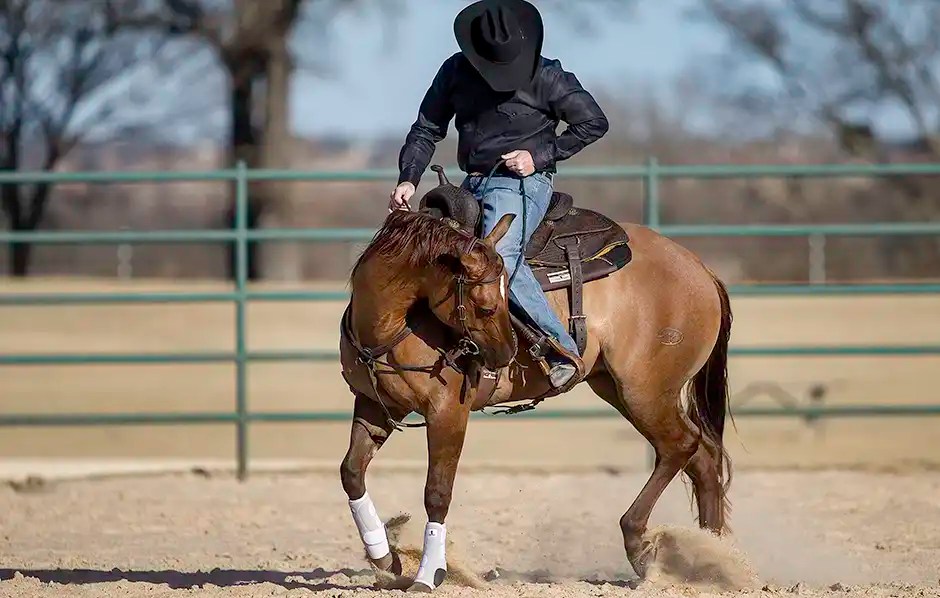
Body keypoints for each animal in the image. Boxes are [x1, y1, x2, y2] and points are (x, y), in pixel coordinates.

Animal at [338, 190, 733, 591]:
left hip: (646, 391)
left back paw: (643, 543)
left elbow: (437, 492)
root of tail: (700, 268)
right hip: (620, 389)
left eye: (501, 298)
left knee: (680, 446)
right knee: (701, 456)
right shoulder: (376, 404)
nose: (505, 355)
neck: (392, 325)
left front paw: (429, 573)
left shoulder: (447, 412)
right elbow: (352, 472)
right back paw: (713, 561)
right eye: (485, 306)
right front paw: (385, 559)